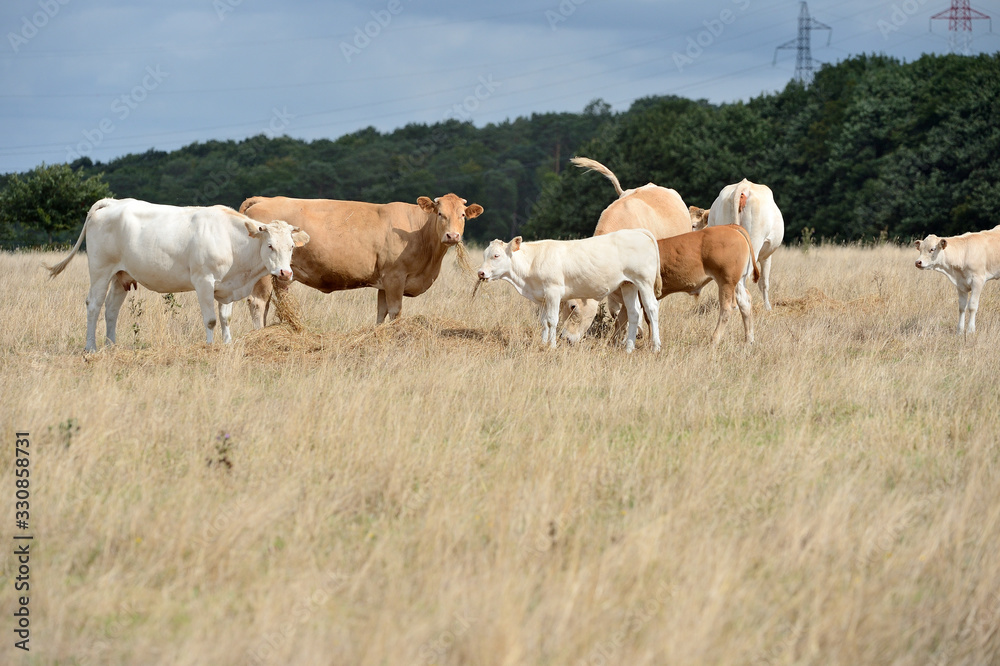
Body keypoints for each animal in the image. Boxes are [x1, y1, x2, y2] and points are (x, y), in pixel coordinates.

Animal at [46, 197, 308, 352]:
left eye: (291, 247)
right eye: (270, 246)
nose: (285, 272)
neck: (232, 241)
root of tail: (112, 202)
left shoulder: (226, 287)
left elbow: (226, 318)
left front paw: (227, 344)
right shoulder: (204, 281)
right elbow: (211, 320)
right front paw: (210, 347)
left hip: (121, 275)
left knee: (111, 308)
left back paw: (112, 346)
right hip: (100, 270)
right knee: (94, 304)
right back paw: (91, 348)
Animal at [564, 224, 756, 344]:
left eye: (572, 306)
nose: (565, 338)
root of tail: (730, 227)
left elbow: (643, 318)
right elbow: (622, 319)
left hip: (726, 281)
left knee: (727, 308)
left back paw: (714, 340)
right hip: (738, 282)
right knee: (745, 303)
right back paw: (749, 340)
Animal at [692, 178, 784, 310]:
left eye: (694, 225)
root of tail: (743, 186)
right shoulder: (766, 256)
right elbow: (764, 282)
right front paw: (768, 308)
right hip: (753, 246)